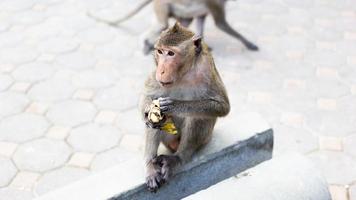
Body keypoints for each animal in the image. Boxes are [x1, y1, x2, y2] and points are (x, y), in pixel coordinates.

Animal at [87, 0, 258, 54]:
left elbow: (200, 21)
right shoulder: (216, 3)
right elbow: (221, 24)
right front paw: (250, 44)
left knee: (184, 21)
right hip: (162, 6)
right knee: (162, 24)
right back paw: (145, 44)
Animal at [140, 22, 231, 192]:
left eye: (171, 53)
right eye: (160, 51)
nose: (161, 70)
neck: (183, 73)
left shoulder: (207, 69)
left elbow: (222, 106)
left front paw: (174, 105)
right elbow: (148, 95)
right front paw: (150, 110)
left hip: (205, 138)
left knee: (197, 116)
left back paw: (177, 158)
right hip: (169, 139)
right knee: (157, 123)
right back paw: (151, 165)